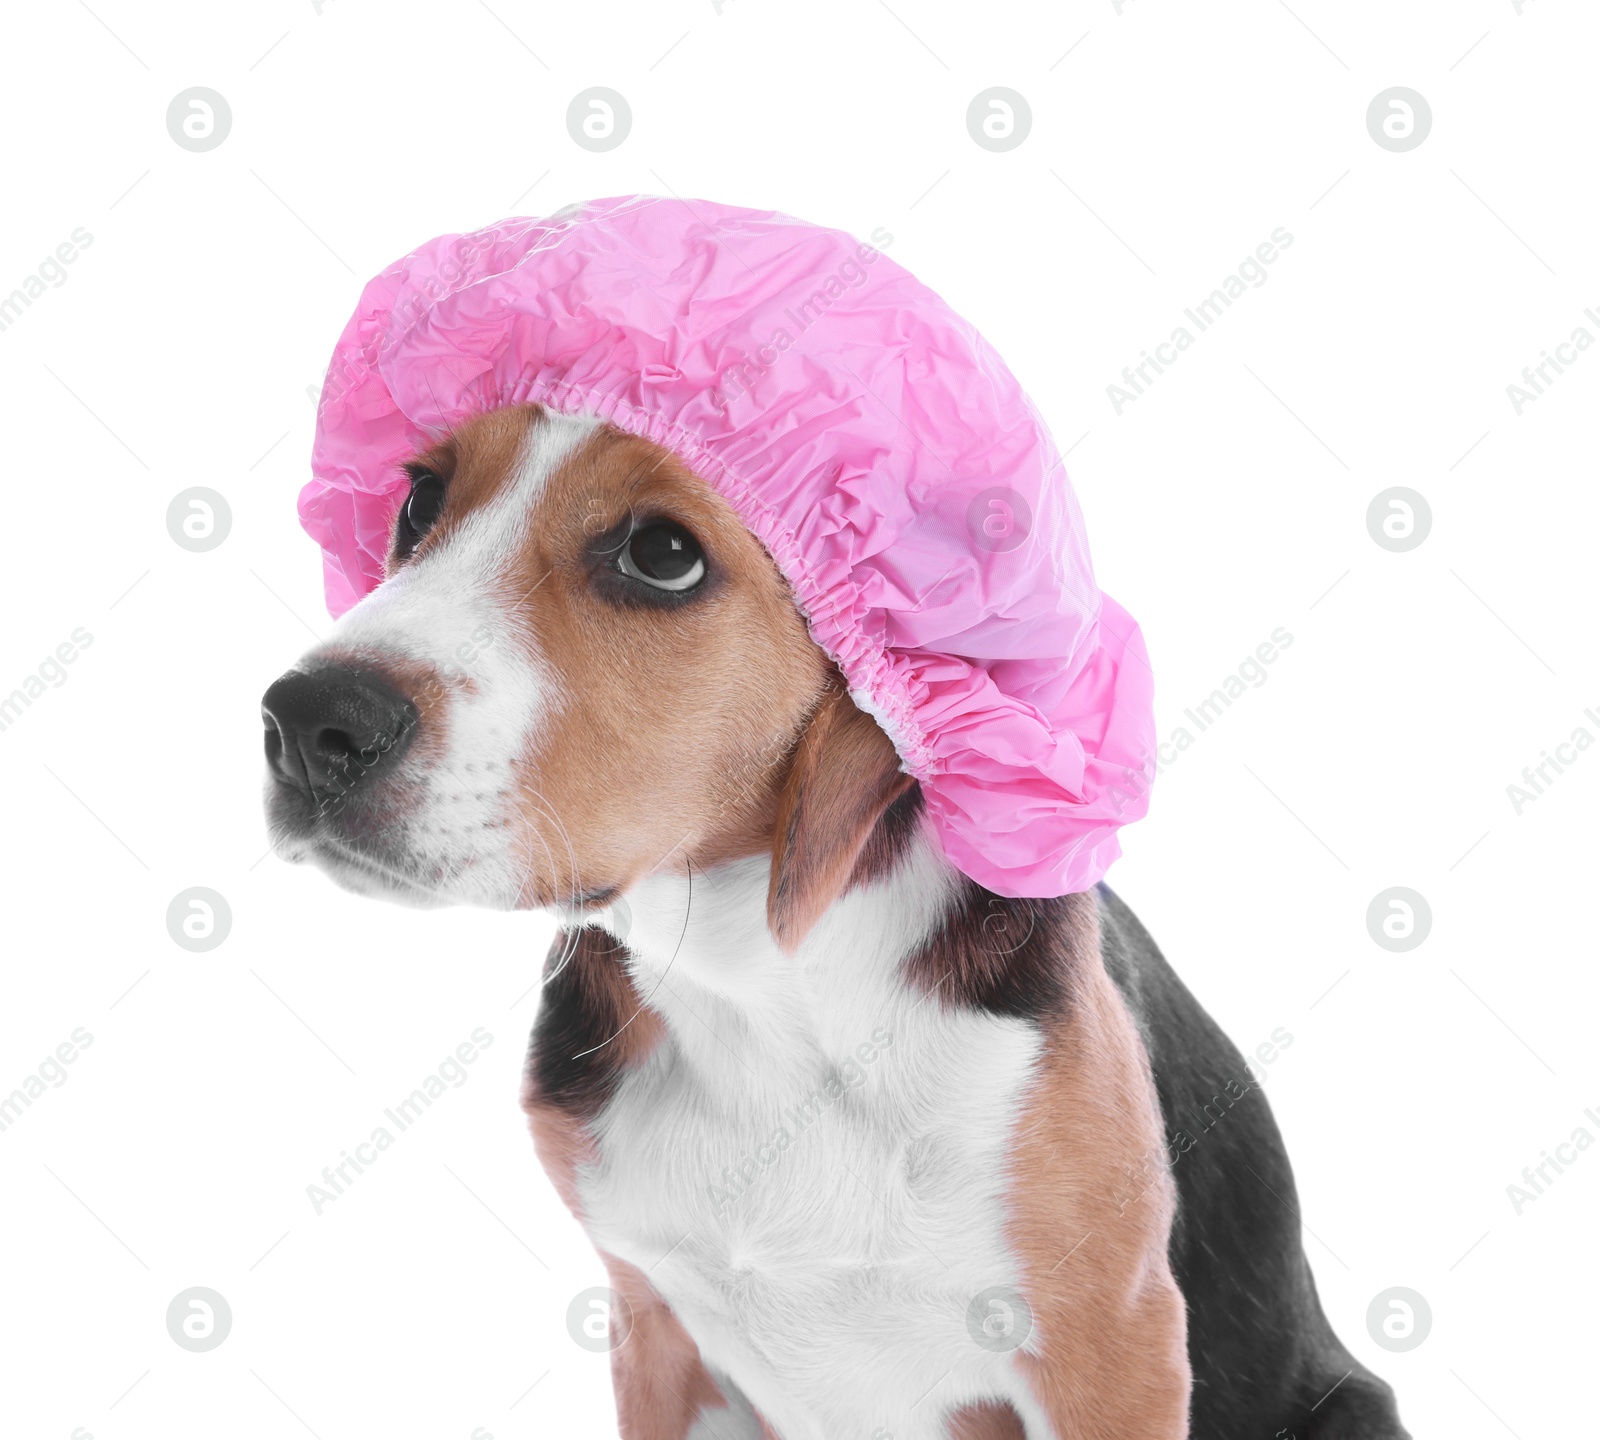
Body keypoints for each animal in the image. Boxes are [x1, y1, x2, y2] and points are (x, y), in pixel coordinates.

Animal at [265, 401, 1414, 1440]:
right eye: (418, 501)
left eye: (662, 555)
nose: (308, 723)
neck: (763, 998)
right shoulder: (656, 1337)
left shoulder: (1111, 1350)